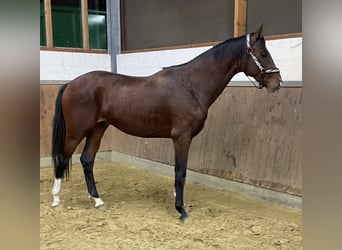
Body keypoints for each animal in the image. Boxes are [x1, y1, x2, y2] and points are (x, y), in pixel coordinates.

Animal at [50, 25, 280, 221]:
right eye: (263, 54)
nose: (276, 83)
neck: (191, 85)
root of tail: (70, 83)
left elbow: (178, 172)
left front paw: (179, 201)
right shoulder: (182, 138)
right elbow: (181, 173)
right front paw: (181, 210)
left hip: (98, 128)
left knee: (87, 160)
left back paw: (97, 199)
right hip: (76, 132)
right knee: (62, 157)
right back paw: (56, 198)